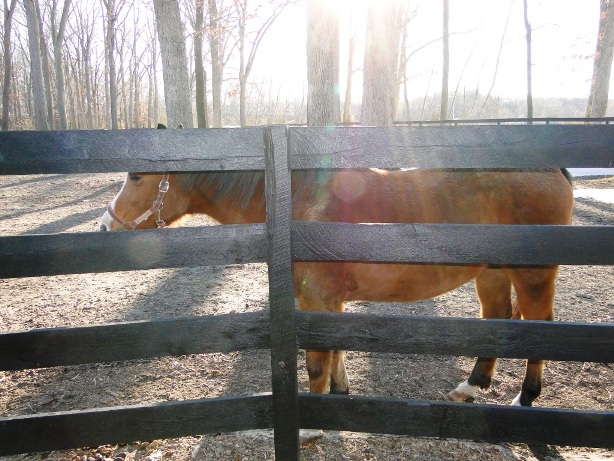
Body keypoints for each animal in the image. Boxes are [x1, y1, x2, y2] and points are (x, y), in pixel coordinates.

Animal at [98, 144, 576, 406]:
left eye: (136, 175)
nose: (104, 228)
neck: (296, 201)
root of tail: (554, 168)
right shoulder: (327, 302)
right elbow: (336, 352)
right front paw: (341, 393)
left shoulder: (317, 299)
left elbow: (316, 363)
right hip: (492, 274)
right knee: (497, 318)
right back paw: (472, 387)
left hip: (534, 277)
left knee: (539, 327)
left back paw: (527, 395)